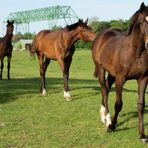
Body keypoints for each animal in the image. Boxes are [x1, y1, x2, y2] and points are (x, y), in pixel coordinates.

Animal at [92, 2, 148, 142]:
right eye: (142, 22)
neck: (135, 53)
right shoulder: (120, 79)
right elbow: (118, 104)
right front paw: (111, 126)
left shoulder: (143, 79)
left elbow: (141, 105)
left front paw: (142, 135)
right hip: (101, 70)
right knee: (104, 90)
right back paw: (107, 119)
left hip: (111, 74)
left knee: (106, 88)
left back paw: (103, 116)